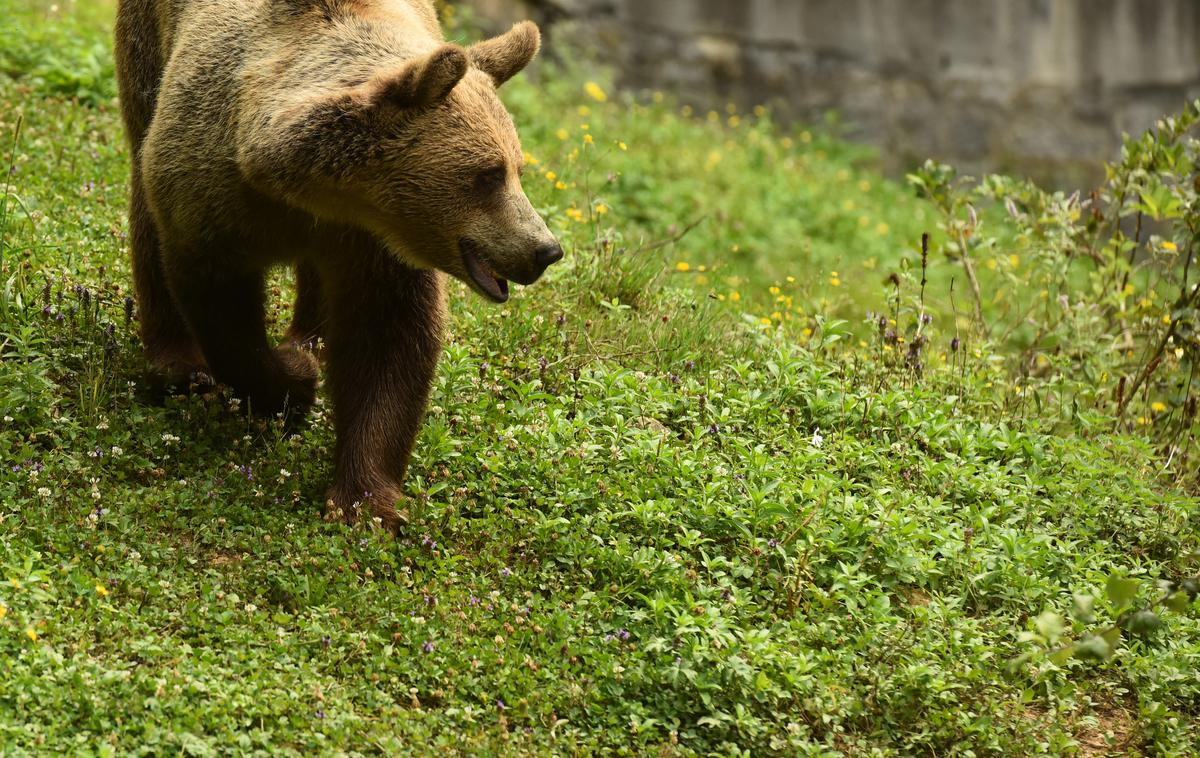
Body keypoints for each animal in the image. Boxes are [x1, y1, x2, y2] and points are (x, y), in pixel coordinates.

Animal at [114, 0, 559, 527]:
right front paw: (293, 384)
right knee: (147, 210)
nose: (545, 249)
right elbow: (222, 308)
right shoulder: (213, 191)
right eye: (489, 174)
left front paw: (367, 502)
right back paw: (179, 366)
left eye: (518, 168)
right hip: (146, 56)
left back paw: (309, 340)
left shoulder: (373, 243)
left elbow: (388, 338)